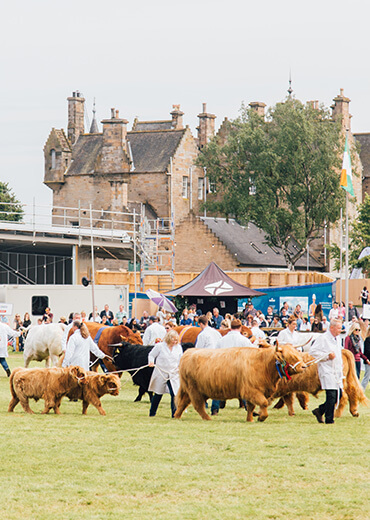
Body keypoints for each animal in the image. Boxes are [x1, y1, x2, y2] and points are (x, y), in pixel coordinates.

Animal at [175, 344, 304, 420]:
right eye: (290, 357)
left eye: (297, 354)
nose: (304, 366)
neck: (263, 364)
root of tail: (188, 352)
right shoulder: (251, 390)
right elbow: (263, 402)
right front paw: (261, 417)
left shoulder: (254, 392)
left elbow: (251, 407)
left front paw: (250, 419)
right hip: (194, 390)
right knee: (198, 405)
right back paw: (208, 418)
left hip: (195, 390)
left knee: (183, 403)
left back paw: (177, 416)